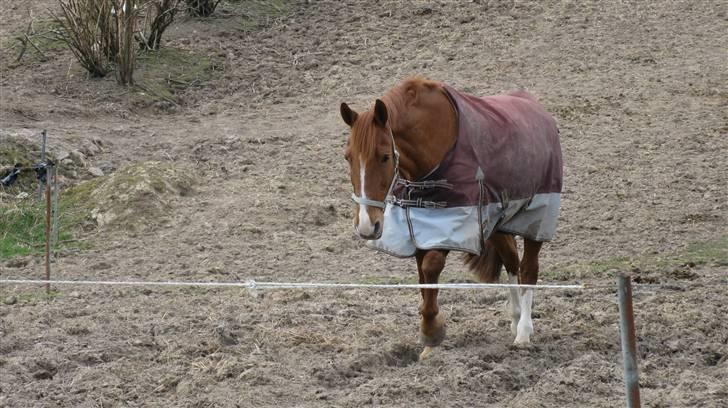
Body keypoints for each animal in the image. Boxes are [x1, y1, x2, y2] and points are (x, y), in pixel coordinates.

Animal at [342, 75, 564, 356]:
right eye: (348, 157)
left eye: (383, 156)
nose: (366, 225)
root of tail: (539, 111)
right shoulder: (420, 226)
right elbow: (424, 278)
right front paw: (429, 339)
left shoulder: (454, 224)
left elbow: (431, 267)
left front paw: (432, 331)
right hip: (497, 221)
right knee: (512, 262)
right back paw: (515, 320)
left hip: (536, 217)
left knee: (529, 268)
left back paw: (524, 331)